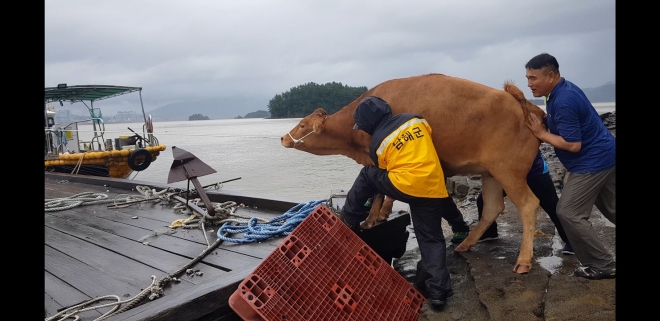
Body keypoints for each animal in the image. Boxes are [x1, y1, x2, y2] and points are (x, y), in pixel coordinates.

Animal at [282, 72, 548, 272]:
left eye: (303, 125)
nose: (284, 137)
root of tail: (525, 105)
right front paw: (380, 215)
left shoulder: (377, 159)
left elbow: (378, 193)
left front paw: (370, 220)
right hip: (491, 172)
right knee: (493, 207)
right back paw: (465, 244)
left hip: (509, 170)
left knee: (528, 204)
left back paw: (523, 260)